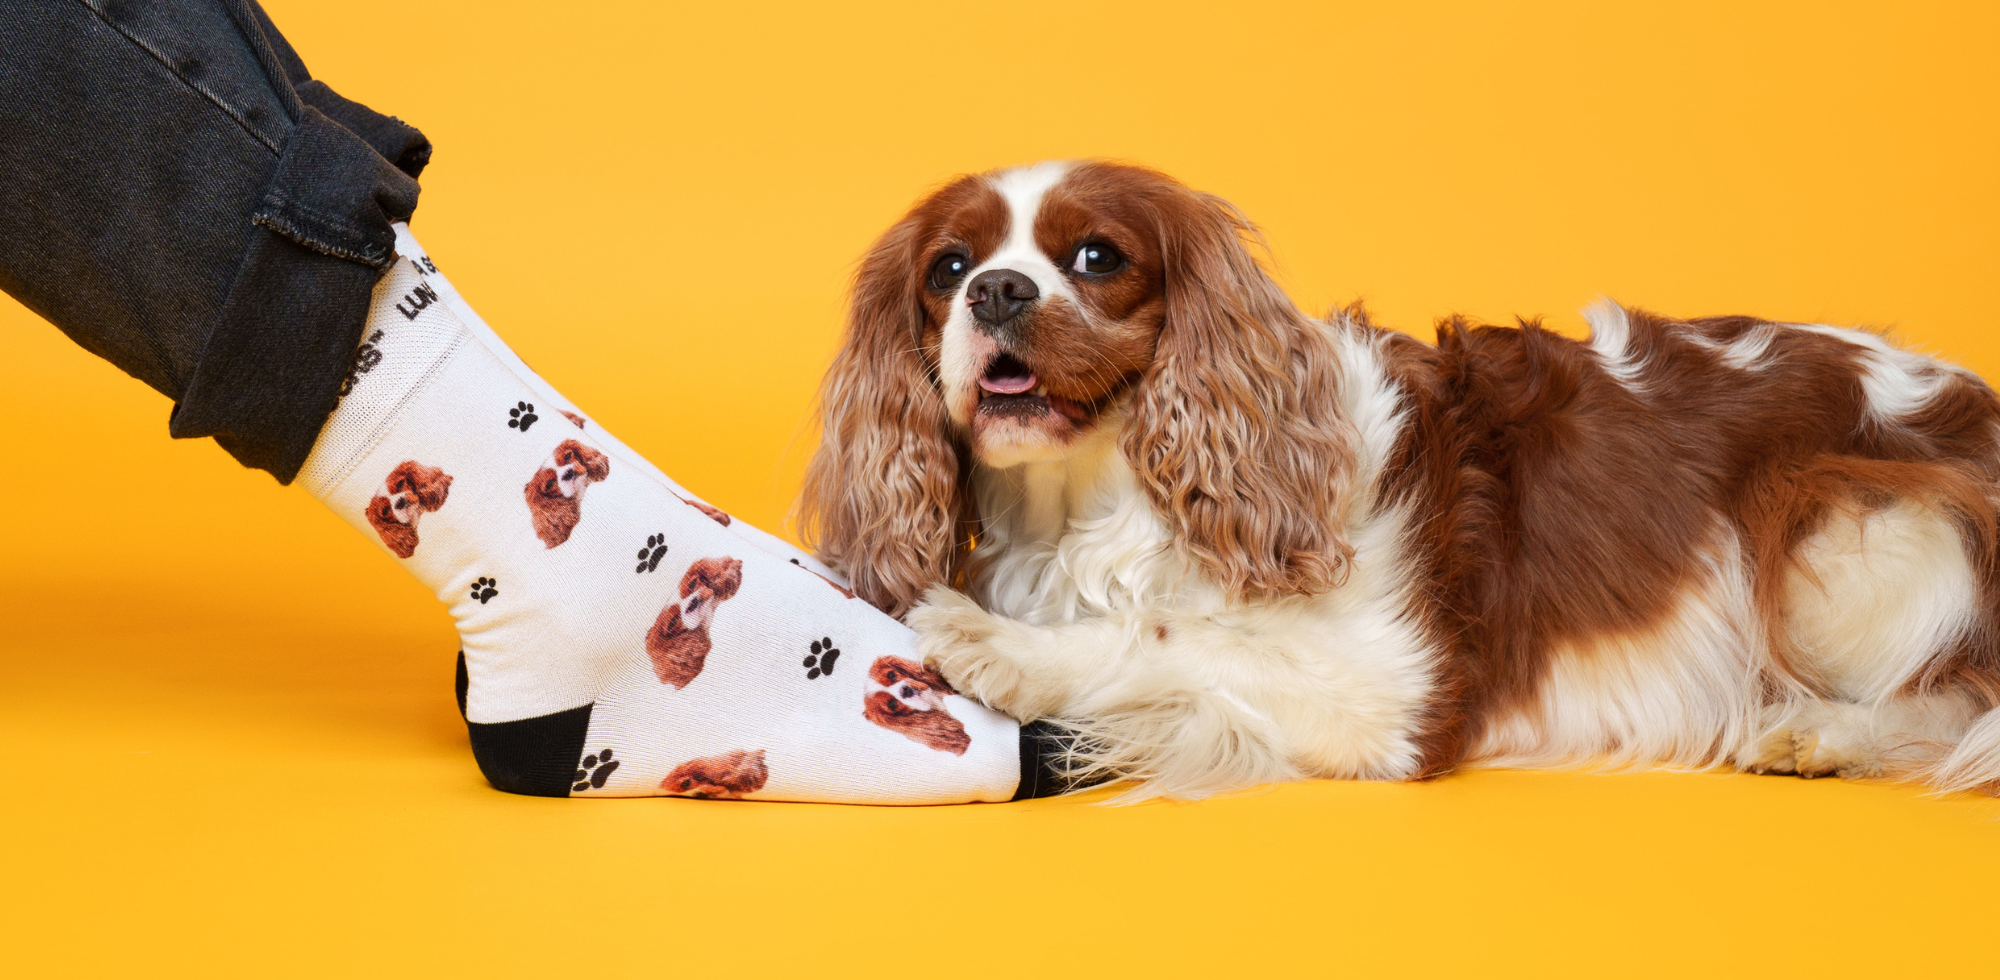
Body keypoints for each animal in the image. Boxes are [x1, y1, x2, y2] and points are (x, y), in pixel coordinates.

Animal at [799, 160, 2000, 800]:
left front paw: (1001, 646)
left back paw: (1819, 731)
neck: (1104, 505)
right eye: (948, 268)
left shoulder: (1391, 693)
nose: (996, 291)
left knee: (1957, 700)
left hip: (1843, 527)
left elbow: (1169, 637)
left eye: (1096, 257)